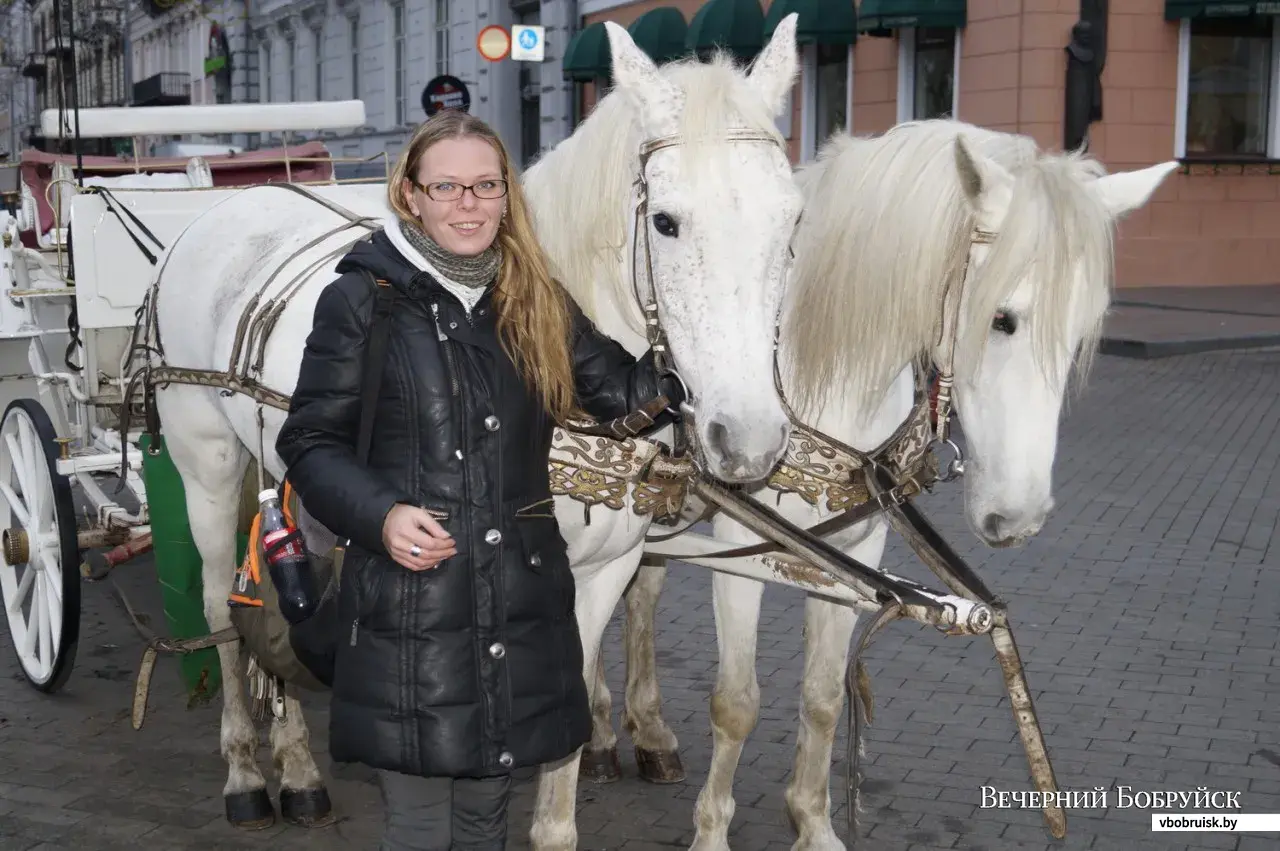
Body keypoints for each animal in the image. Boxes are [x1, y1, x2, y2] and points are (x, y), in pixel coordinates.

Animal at [588, 120, 1177, 849]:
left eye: (1083, 334)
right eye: (1002, 319)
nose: (1020, 517)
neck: (819, 376)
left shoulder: (856, 550)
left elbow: (822, 696)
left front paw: (813, 821)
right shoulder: (739, 547)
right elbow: (736, 703)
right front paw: (712, 831)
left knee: (642, 594)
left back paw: (650, 733)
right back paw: (601, 732)